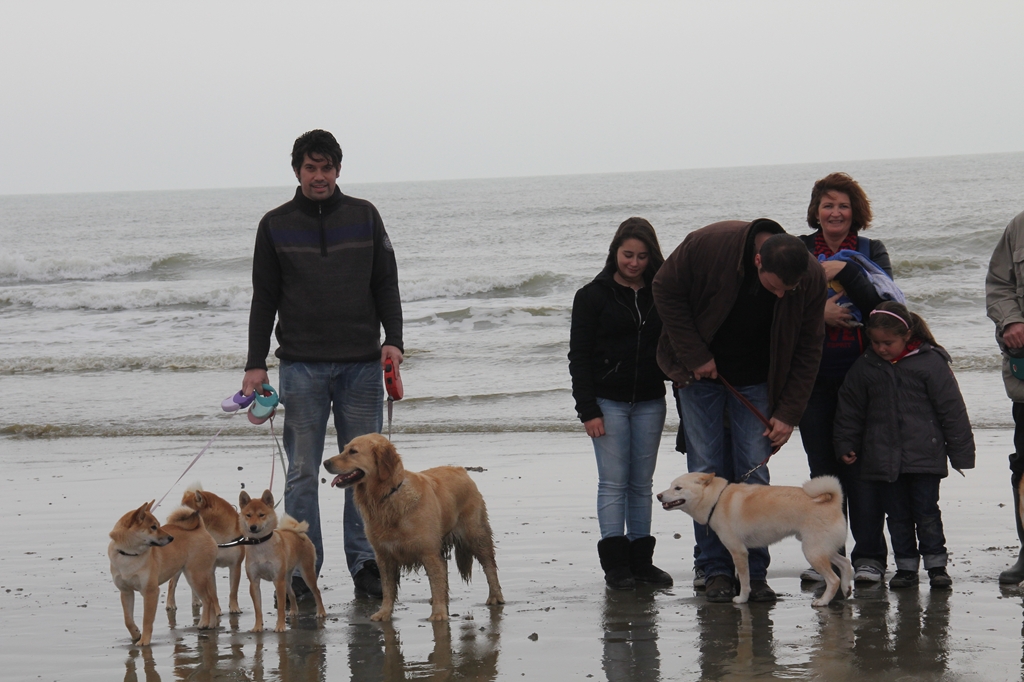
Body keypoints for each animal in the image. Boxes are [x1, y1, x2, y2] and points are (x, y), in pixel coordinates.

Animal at [107, 499, 218, 643]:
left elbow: (147, 620)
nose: (171, 538)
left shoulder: (151, 592)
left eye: (159, 525)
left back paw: (204, 622)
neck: (129, 555)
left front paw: (144, 641)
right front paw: (136, 634)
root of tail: (201, 528)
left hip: (195, 578)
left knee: (208, 599)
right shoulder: (126, 592)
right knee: (211, 600)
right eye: (153, 527)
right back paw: (212, 624)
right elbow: (128, 620)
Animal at [167, 485, 249, 614]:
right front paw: (216, 610)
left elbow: (233, 591)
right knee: (172, 584)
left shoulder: (235, 566)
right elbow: (213, 594)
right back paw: (170, 604)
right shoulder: (210, 569)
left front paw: (234, 607)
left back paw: (196, 601)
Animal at [236, 485, 323, 630]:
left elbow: (281, 608)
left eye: (261, 515)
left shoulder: (278, 581)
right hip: (286, 579)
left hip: (306, 574)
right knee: (292, 594)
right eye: (248, 515)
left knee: (317, 592)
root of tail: (298, 532)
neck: (260, 545)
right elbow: (257, 609)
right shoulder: (254, 582)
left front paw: (281, 626)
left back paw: (321, 612)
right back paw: (293, 611)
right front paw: (257, 627)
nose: (253, 527)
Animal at [323, 432, 503, 618]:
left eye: (353, 451)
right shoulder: (384, 554)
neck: (387, 496)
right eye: (344, 449)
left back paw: (495, 596)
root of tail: (462, 470)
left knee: (489, 566)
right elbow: (388, 588)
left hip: (475, 535)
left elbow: (435, 580)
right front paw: (384, 613)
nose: (325, 462)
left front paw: (438, 614)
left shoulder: (429, 551)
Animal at [659, 473, 851, 606]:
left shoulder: (738, 551)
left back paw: (824, 601)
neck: (717, 500)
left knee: (833, 579)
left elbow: (744, 580)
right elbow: (740, 575)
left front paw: (742, 598)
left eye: (678, 488)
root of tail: (834, 502)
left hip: (812, 552)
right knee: (845, 563)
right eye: (671, 486)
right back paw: (847, 589)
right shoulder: (738, 553)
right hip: (821, 549)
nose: (659, 496)